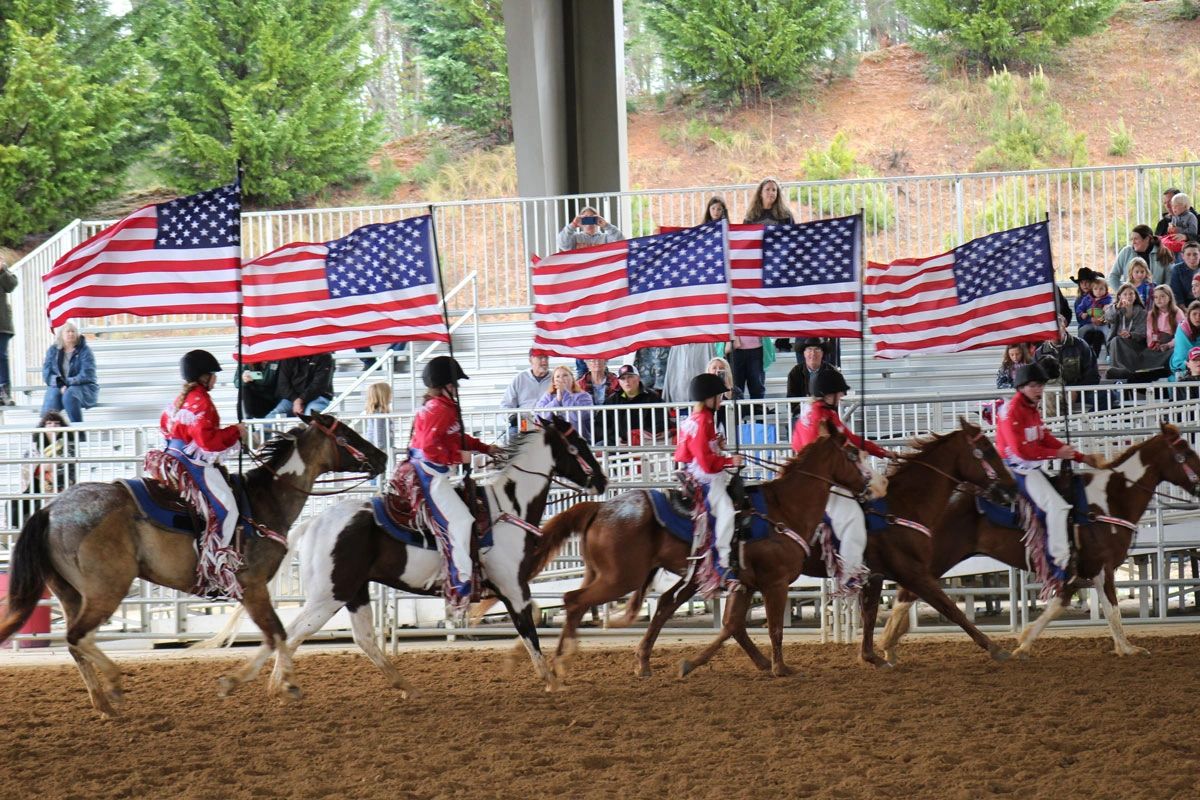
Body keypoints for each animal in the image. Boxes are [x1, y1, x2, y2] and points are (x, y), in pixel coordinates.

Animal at [0, 417, 384, 714]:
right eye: (345, 433)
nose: (380, 457)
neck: (264, 501)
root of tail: (50, 509)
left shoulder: (251, 591)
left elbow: (275, 635)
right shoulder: (253, 585)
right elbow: (277, 633)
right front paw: (278, 685)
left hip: (69, 593)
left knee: (74, 643)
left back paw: (104, 704)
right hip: (106, 589)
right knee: (78, 635)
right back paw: (115, 684)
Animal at [218, 412, 609, 695]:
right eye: (578, 444)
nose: (602, 480)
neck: (506, 507)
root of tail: (313, 524)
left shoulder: (512, 589)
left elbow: (533, 622)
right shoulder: (514, 587)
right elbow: (529, 629)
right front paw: (552, 680)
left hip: (353, 591)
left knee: (359, 637)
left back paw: (401, 684)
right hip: (330, 595)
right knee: (292, 632)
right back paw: (275, 684)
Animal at [525, 424, 883, 676]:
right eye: (853, 453)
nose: (871, 487)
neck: (784, 508)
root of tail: (599, 508)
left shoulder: (745, 583)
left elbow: (733, 625)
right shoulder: (775, 583)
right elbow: (773, 627)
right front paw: (780, 668)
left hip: (606, 574)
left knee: (641, 606)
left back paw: (633, 662)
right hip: (621, 578)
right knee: (574, 600)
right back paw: (559, 663)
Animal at [676, 417, 1022, 681]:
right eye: (987, 450)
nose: (1011, 487)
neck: (901, 505)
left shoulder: (876, 575)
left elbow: (870, 614)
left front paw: (872, 656)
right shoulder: (912, 572)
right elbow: (950, 608)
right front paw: (996, 648)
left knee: (732, 624)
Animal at [878, 422, 1200, 666]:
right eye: (1185, 452)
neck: (1109, 500)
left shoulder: (1078, 571)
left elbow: (1062, 605)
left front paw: (1024, 643)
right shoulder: (1101, 566)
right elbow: (1111, 608)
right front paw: (1129, 648)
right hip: (940, 555)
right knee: (909, 592)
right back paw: (887, 645)